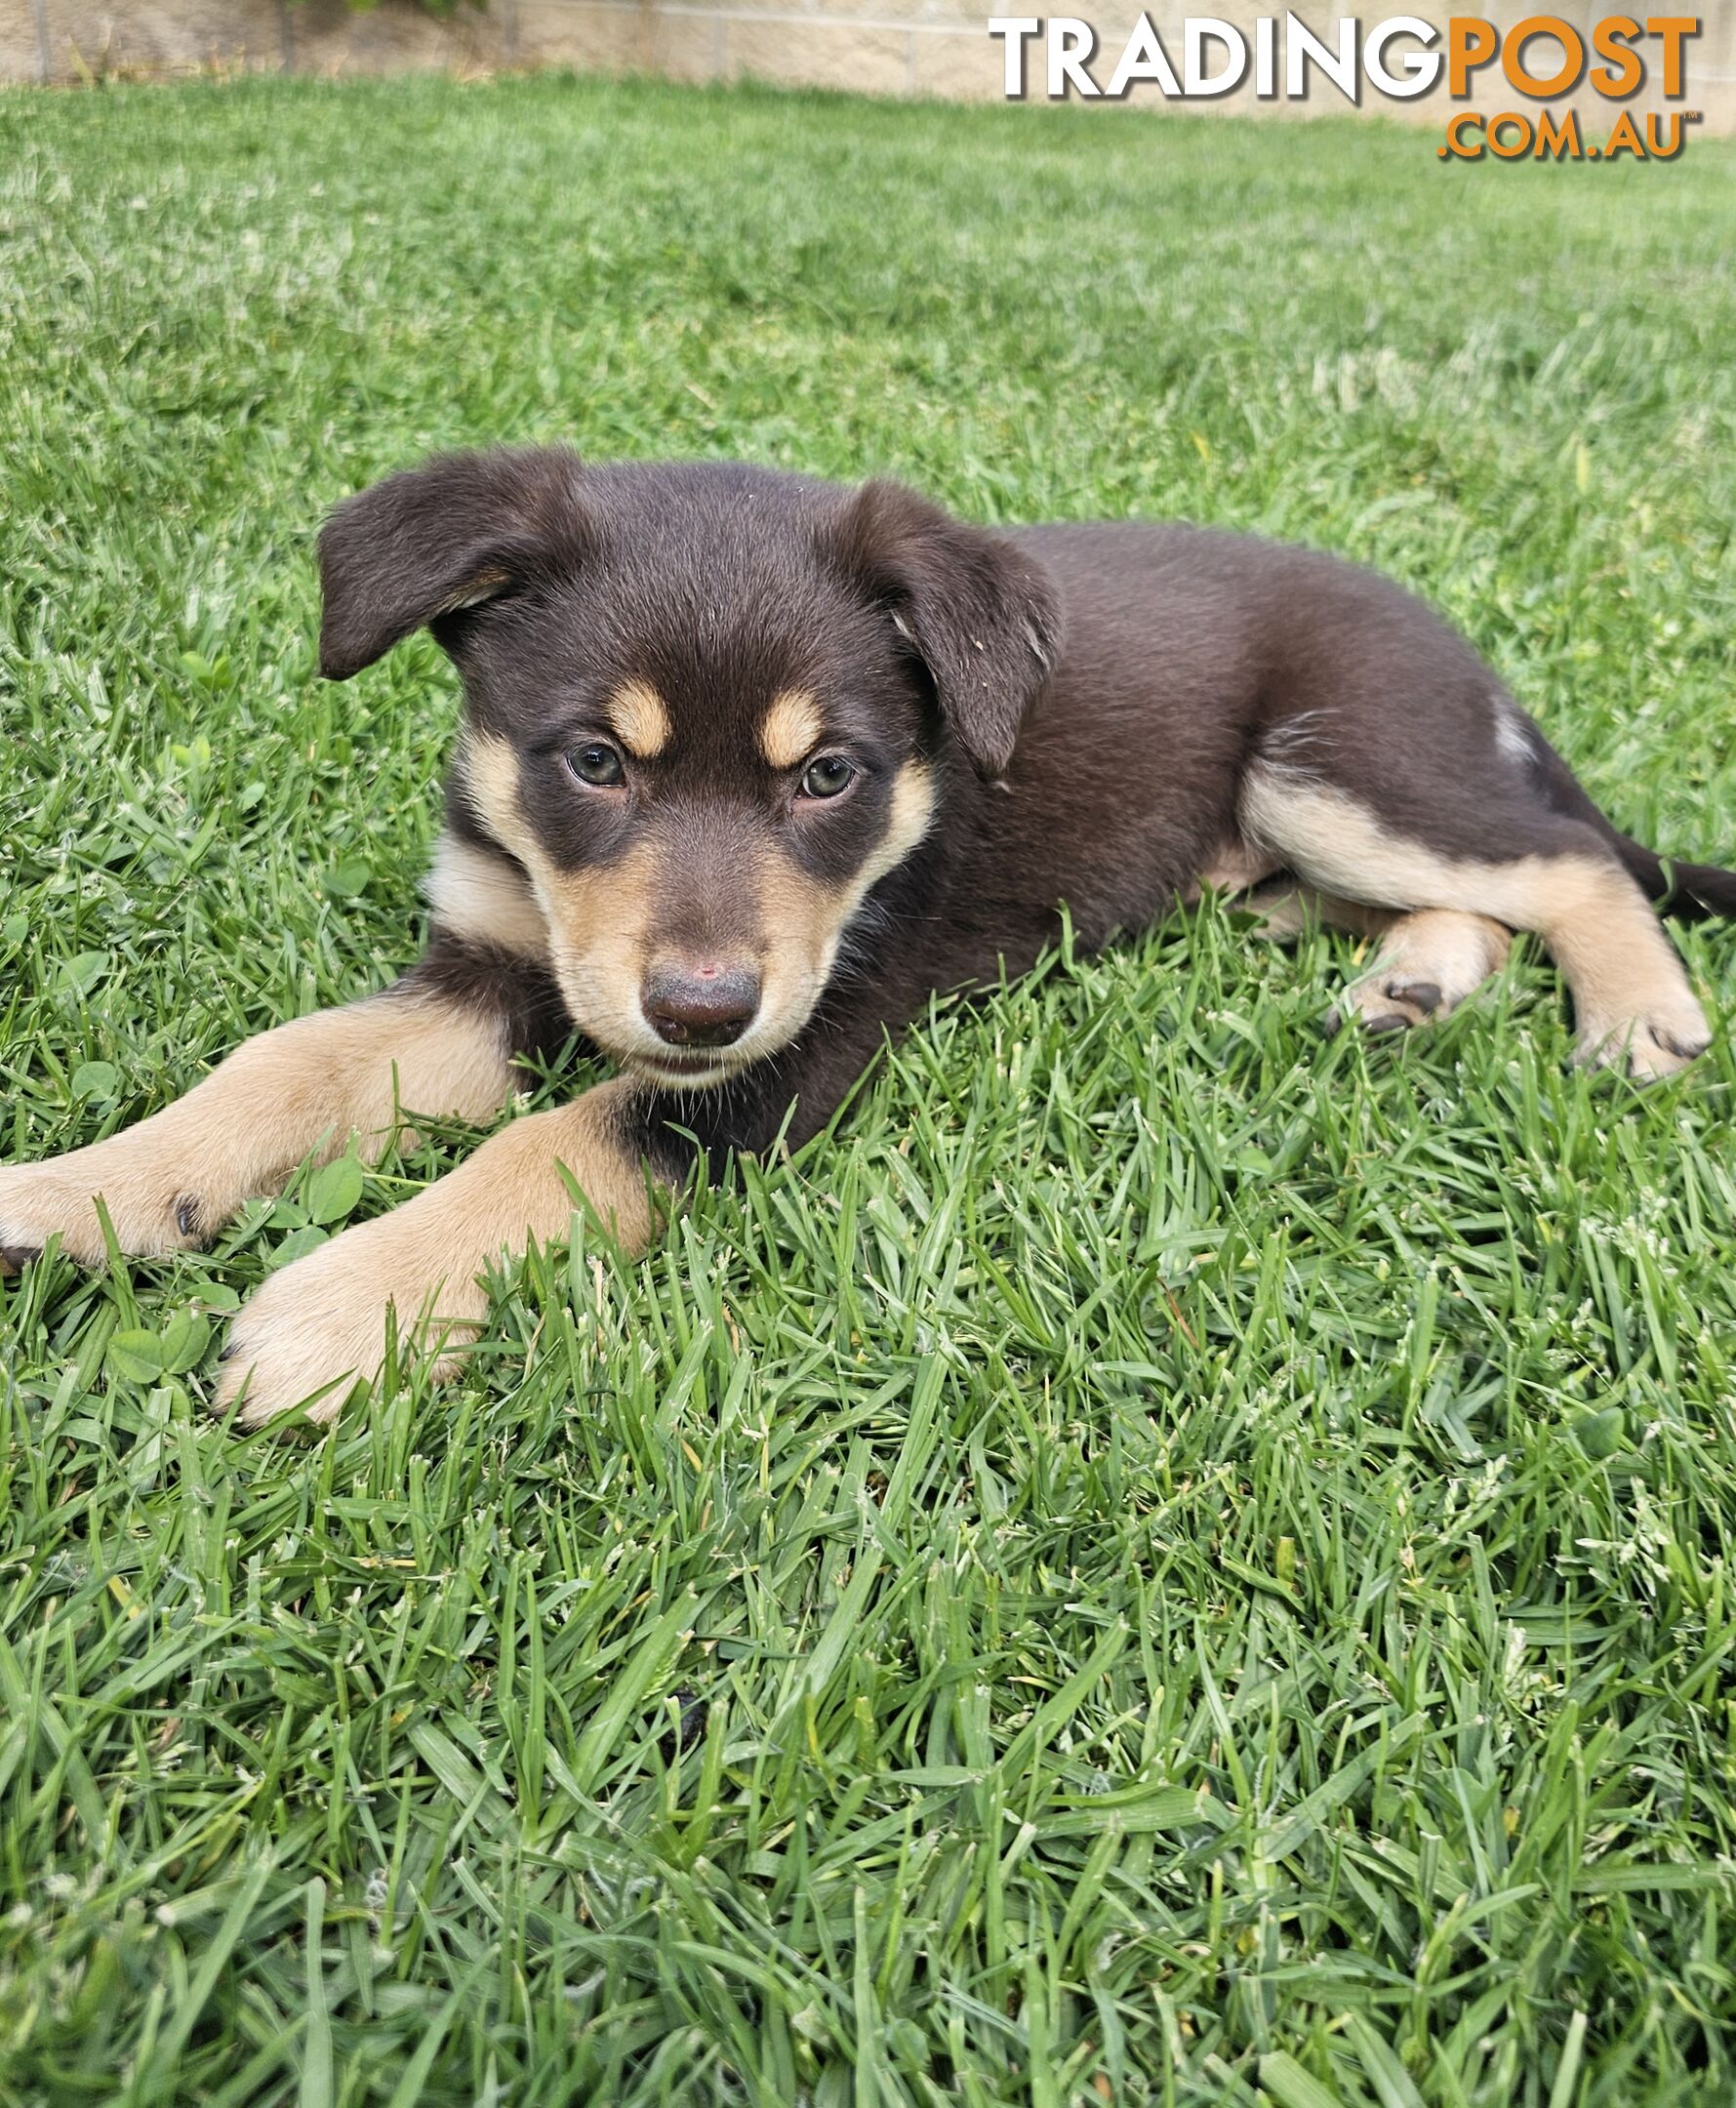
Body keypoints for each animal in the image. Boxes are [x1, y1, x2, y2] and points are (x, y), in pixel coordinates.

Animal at [3, 451, 1736, 1425]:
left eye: (826, 775)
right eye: (592, 761)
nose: (698, 1009)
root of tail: (1462, 654)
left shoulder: (800, 1042)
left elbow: (553, 1146)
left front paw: (340, 1309)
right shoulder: (495, 969)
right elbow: (280, 1063)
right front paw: (81, 1194)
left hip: (1335, 763)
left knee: (1572, 862)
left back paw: (1638, 1016)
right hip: (1286, 840)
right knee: (1464, 899)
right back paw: (1411, 981)